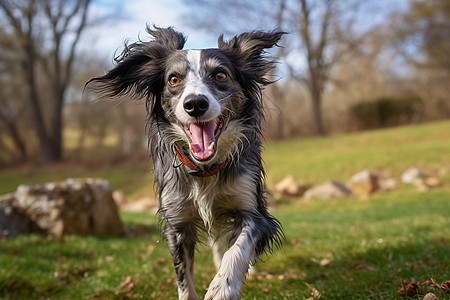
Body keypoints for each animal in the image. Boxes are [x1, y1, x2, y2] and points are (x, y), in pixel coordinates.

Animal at [88, 26, 284, 300]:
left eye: (221, 75)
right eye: (173, 80)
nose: (195, 104)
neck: (205, 169)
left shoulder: (253, 210)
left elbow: (239, 247)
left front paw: (223, 287)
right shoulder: (177, 221)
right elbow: (183, 277)